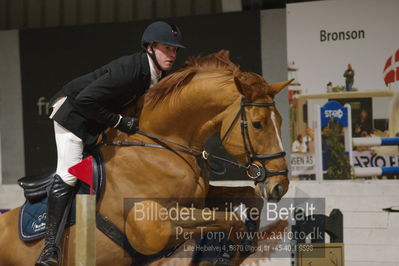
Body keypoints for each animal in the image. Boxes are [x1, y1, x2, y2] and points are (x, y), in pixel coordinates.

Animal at [0, 49, 290, 264]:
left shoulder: (200, 199)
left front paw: (247, 244)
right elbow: (230, 220)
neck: (160, 146)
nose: (280, 185)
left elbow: (249, 197)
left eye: (280, 120)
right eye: (258, 124)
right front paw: (229, 253)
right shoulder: (151, 227)